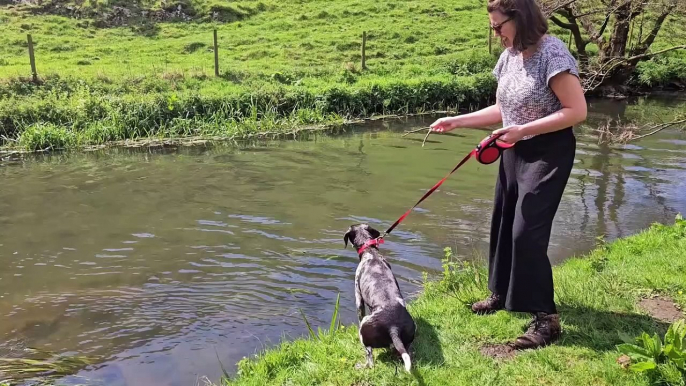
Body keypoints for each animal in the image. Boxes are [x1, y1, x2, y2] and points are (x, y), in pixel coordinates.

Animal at [342, 225, 416, 372]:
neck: (370, 252)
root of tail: (393, 328)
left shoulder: (358, 297)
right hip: (408, 339)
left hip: (364, 332)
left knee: (370, 360)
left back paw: (362, 366)